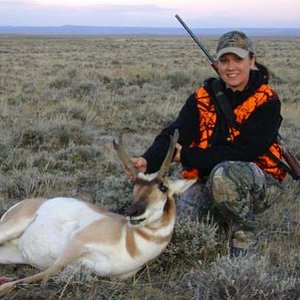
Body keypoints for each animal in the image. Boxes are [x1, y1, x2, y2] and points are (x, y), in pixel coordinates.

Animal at [0, 129, 196, 296]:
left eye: (163, 187)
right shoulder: (76, 244)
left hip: (12, 254)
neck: (128, 240)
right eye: (135, 184)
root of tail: (23, 204)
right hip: (11, 228)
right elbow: (40, 276)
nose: (132, 212)